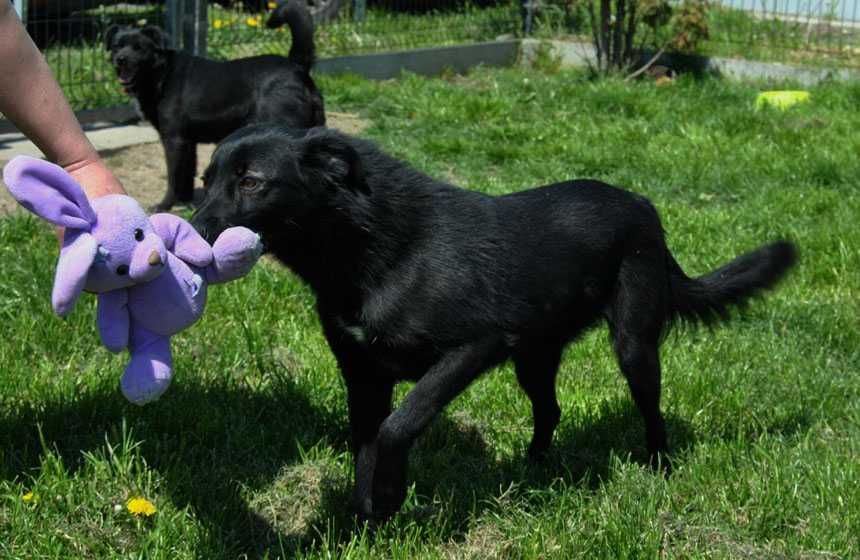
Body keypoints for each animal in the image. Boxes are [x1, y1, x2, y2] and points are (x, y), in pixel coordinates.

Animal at [105, 1, 326, 212]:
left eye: (139, 48)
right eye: (116, 46)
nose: (120, 59)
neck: (161, 73)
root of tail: (296, 66)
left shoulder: (174, 140)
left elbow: (173, 178)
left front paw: (165, 205)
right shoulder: (188, 141)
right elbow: (187, 174)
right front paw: (186, 203)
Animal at [191, 126, 796, 520]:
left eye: (252, 182)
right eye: (205, 180)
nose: (191, 232)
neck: (377, 248)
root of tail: (643, 205)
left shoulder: (472, 346)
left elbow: (398, 425)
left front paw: (389, 497)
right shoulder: (363, 377)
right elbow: (365, 442)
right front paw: (369, 518)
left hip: (633, 342)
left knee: (651, 407)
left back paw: (659, 467)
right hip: (534, 355)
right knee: (549, 409)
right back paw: (531, 468)